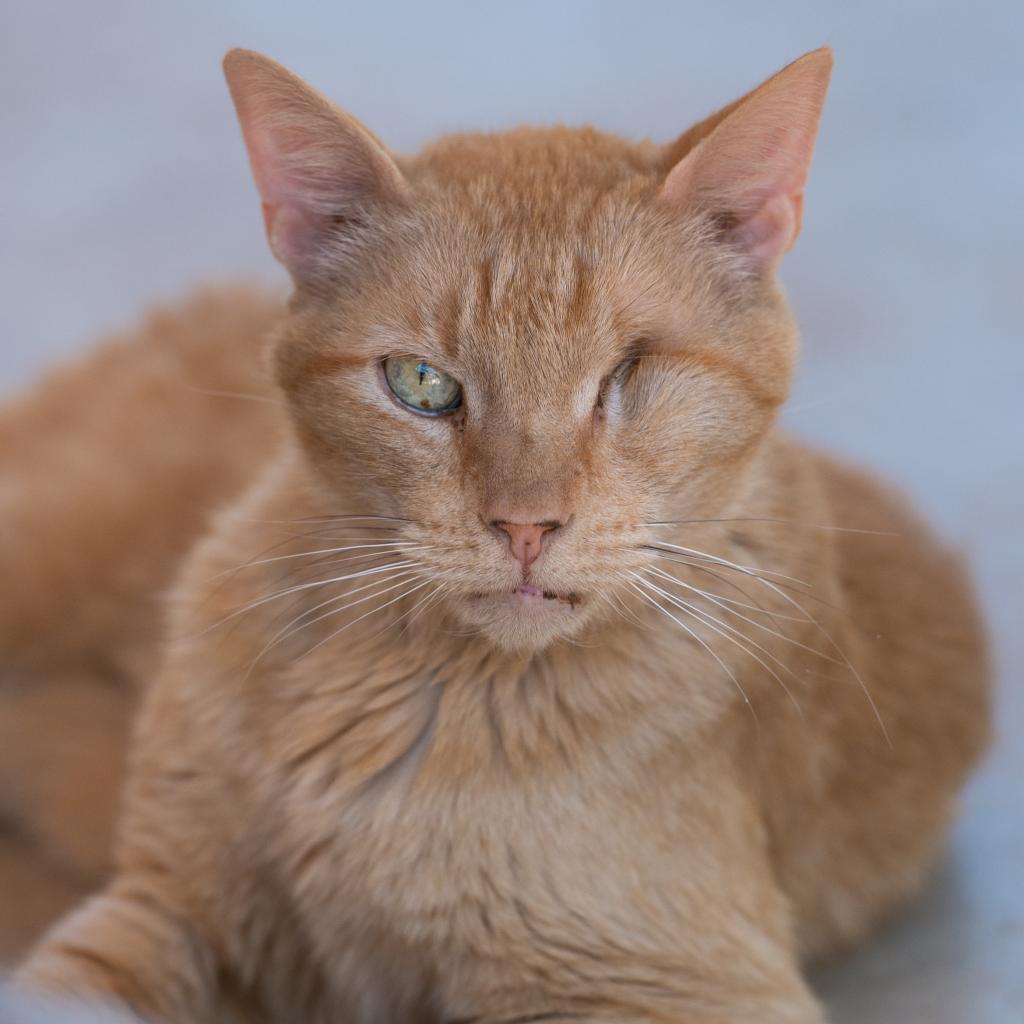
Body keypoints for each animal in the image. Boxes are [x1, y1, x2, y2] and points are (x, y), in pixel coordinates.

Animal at [8, 46, 991, 1024]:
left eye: (626, 375)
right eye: (421, 383)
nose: (526, 524)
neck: (411, 683)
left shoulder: (665, 983)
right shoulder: (162, 910)